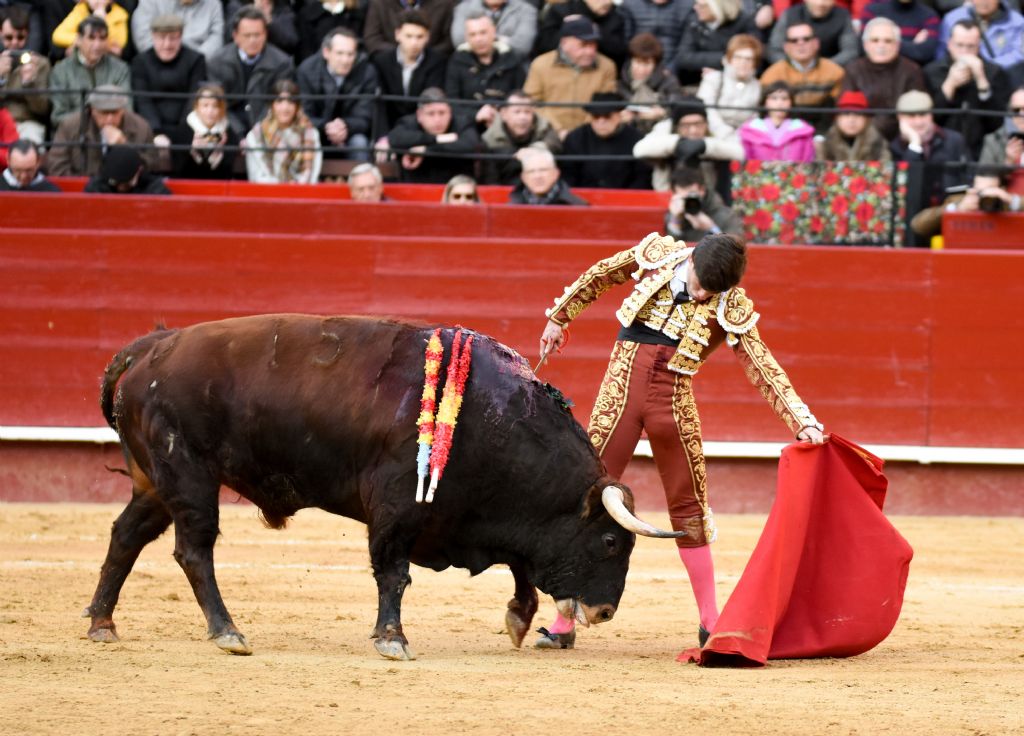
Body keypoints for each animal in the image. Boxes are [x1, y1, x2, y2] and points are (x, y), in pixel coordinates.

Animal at [86, 313, 679, 659]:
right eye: (610, 541)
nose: (605, 612)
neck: (491, 416)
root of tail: (149, 348)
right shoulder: (397, 507)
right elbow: (393, 574)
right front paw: (392, 638)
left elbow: (521, 566)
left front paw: (516, 619)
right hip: (188, 475)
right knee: (194, 550)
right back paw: (227, 631)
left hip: (154, 481)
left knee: (125, 537)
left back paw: (102, 624)